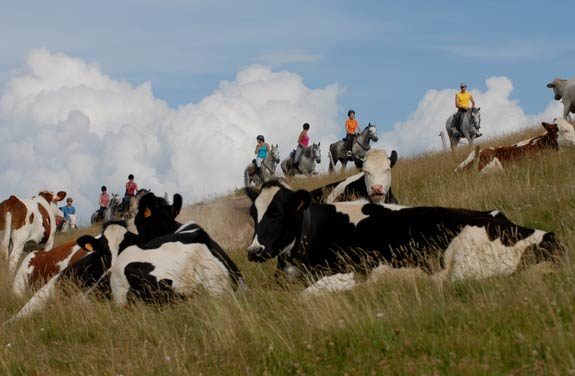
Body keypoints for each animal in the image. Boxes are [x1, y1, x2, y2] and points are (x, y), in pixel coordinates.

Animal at [245, 181, 564, 296]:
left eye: (277, 213)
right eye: (253, 214)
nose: (253, 251)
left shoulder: (355, 270)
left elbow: (306, 294)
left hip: (465, 261)